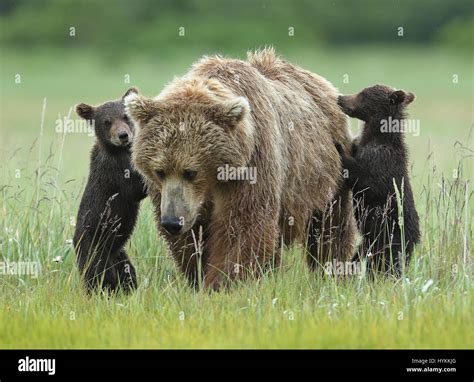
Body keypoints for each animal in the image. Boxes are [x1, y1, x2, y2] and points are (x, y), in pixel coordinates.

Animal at [74, 88, 146, 294]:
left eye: (125, 116)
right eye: (107, 121)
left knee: (128, 273)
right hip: (93, 247)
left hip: (119, 253)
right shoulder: (114, 171)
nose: (123, 135)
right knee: (98, 275)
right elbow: (135, 188)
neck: (120, 151)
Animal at [124, 49, 354, 290]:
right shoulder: (170, 195)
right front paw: (198, 276)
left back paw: (331, 272)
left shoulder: (251, 166)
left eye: (191, 171)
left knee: (330, 228)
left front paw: (222, 282)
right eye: (160, 170)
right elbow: (192, 239)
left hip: (326, 175)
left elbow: (242, 227)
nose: (172, 222)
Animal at [336, 85, 420, 278]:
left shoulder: (381, 162)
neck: (374, 136)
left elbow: (366, 182)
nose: (340, 98)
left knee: (385, 264)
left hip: (391, 235)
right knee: (362, 254)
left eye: (363, 94)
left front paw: (339, 148)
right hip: (371, 240)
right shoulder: (360, 146)